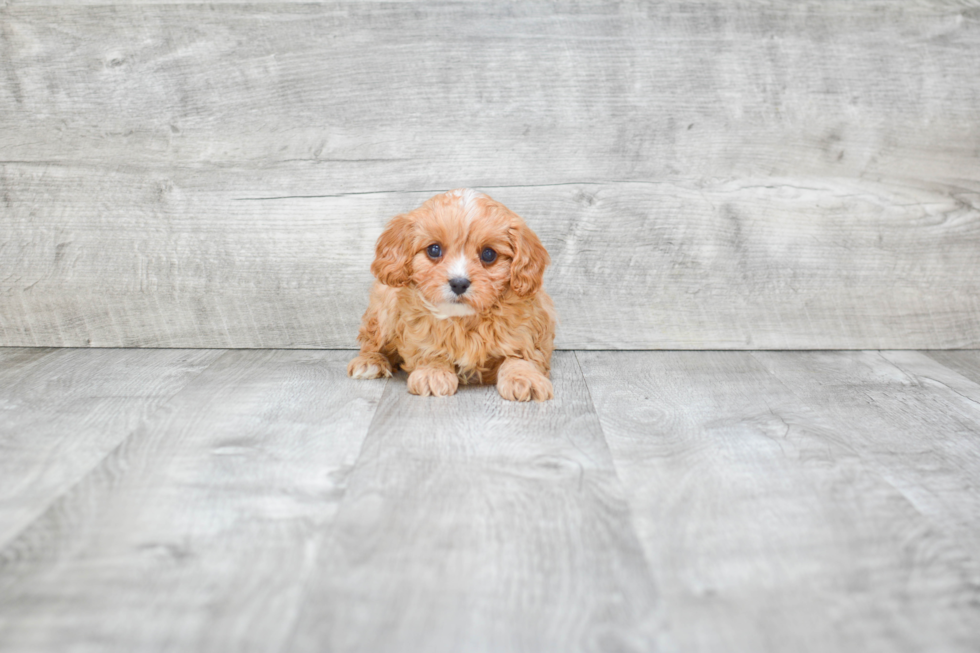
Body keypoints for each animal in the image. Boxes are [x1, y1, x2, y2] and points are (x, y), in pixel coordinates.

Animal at [348, 187, 556, 402]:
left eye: (488, 254)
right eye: (434, 249)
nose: (459, 283)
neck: (462, 319)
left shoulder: (526, 332)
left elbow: (520, 357)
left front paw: (524, 377)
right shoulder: (419, 330)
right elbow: (430, 350)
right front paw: (433, 372)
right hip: (382, 310)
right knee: (372, 341)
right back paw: (370, 362)